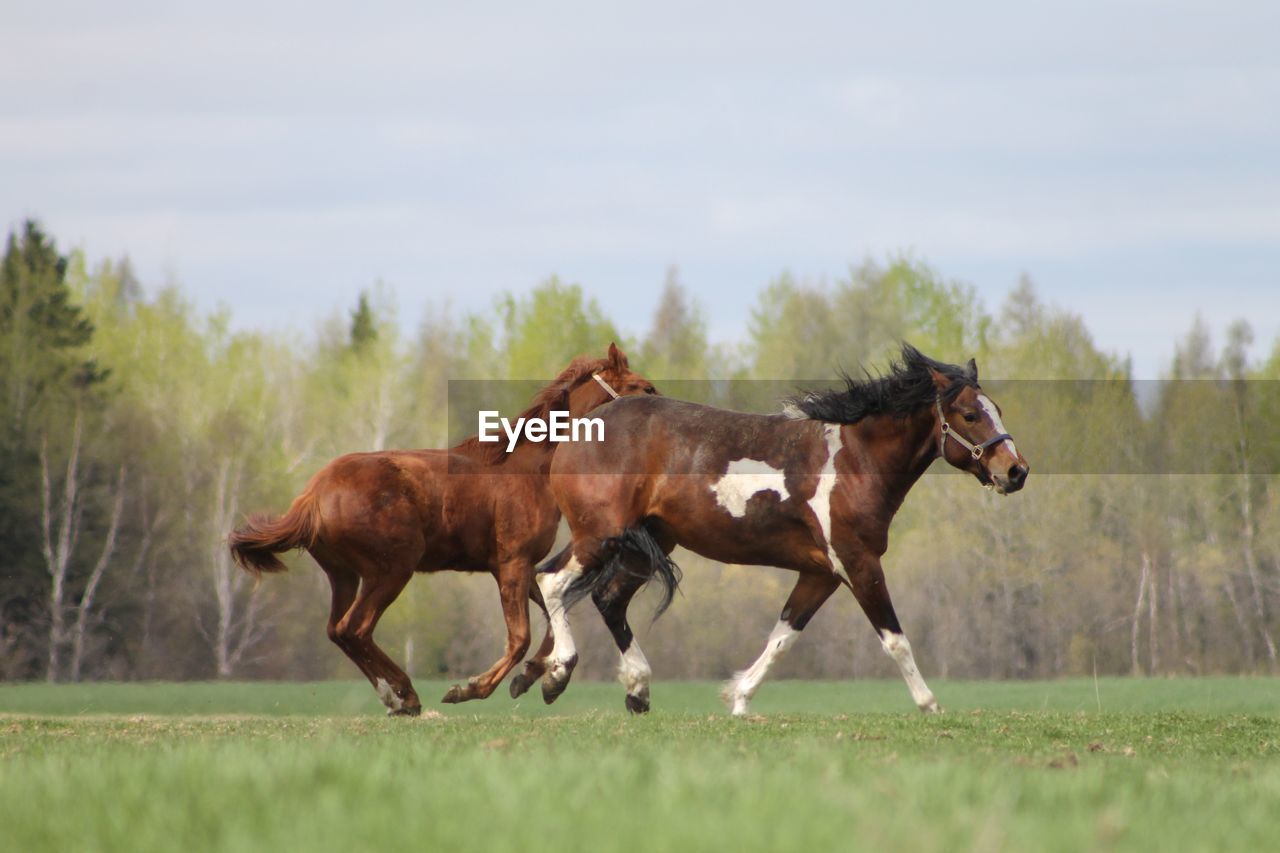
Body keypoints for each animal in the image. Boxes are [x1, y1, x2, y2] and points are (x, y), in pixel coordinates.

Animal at [226, 343, 660, 712]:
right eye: (643, 387)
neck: (528, 468)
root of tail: (313, 496)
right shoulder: (512, 564)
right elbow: (521, 636)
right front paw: (470, 688)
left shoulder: (517, 568)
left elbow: (550, 623)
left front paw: (537, 677)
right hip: (391, 570)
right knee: (355, 628)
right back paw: (404, 695)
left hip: (344, 574)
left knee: (337, 630)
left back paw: (397, 696)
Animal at [529, 343, 1029, 712]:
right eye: (970, 414)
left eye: (999, 409)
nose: (1016, 471)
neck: (854, 460)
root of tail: (582, 426)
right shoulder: (859, 564)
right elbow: (895, 640)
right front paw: (930, 706)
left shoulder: (821, 573)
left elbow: (783, 637)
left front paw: (738, 699)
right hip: (599, 535)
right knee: (550, 581)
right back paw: (558, 673)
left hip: (638, 544)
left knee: (605, 598)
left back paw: (635, 689)